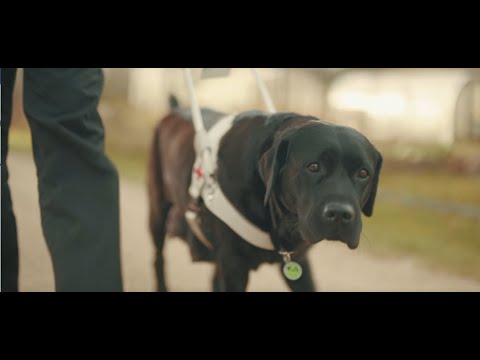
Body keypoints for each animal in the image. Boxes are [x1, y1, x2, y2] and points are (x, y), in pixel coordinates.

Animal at [148, 96, 380, 292]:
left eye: (363, 173)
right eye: (313, 166)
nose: (340, 213)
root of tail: (176, 108)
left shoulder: (299, 263)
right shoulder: (234, 266)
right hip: (157, 213)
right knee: (158, 259)